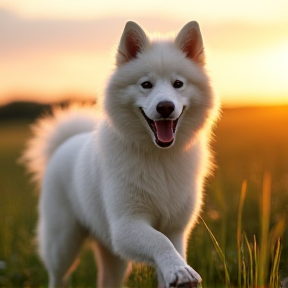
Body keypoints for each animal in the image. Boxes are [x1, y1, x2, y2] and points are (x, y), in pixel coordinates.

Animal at [23, 20, 219, 288]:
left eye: (178, 84)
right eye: (146, 84)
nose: (165, 107)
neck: (159, 157)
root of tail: (65, 142)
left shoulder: (176, 229)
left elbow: (170, 249)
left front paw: (177, 270)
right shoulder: (126, 225)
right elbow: (159, 242)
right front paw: (181, 270)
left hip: (111, 253)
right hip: (63, 244)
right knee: (57, 276)